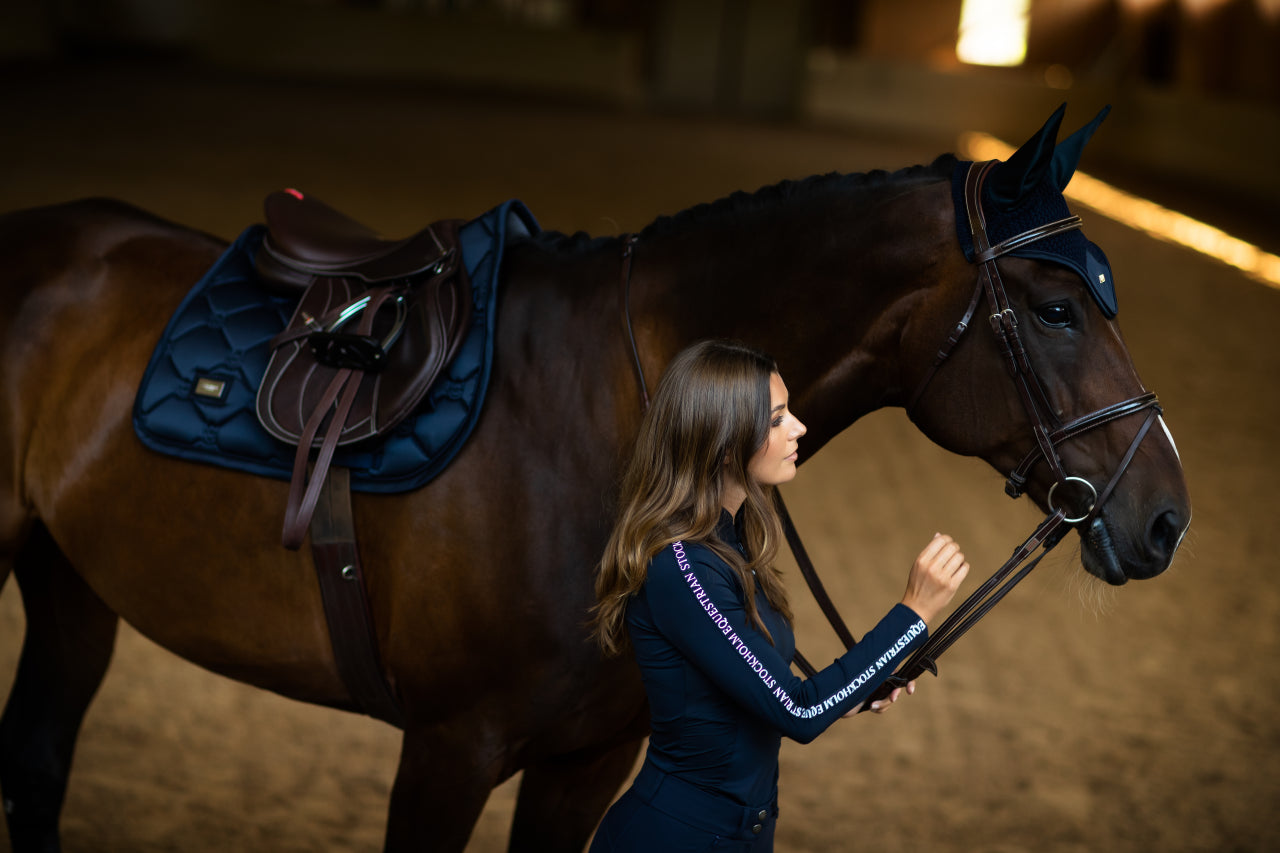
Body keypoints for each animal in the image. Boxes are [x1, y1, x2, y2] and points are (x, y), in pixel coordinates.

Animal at [0, 103, 1187, 845]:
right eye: (1056, 307)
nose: (1167, 517)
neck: (604, 426)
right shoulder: (448, 748)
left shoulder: (589, 759)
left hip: (71, 588)